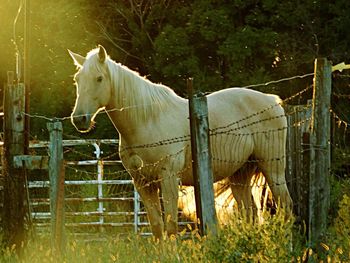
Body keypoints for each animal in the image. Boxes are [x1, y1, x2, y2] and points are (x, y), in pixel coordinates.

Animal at [68, 44, 292, 239]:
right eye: (77, 79)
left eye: (99, 78)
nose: (79, 119)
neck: (148, 120)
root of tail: (272, 101)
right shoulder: (142, 183)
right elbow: (157, 227)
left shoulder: (168, 179)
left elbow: (171, 226)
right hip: (240, 174)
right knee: (250, 213)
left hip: (272, 169)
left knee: (285, 207)